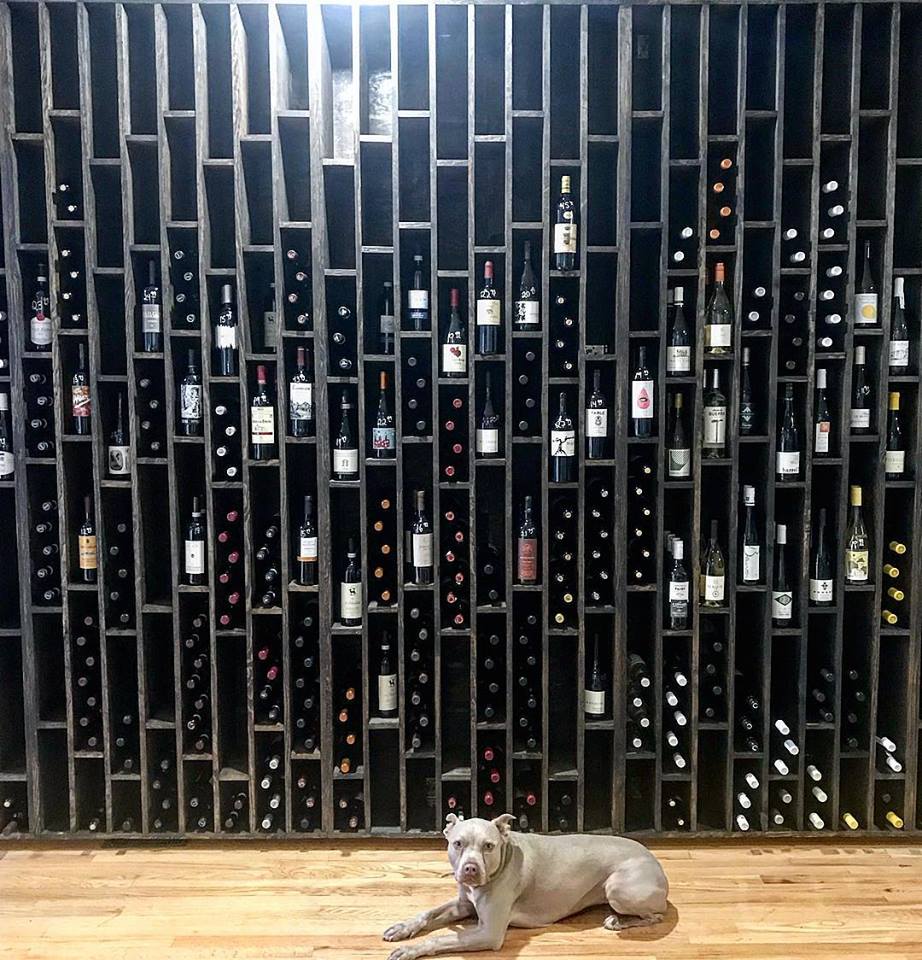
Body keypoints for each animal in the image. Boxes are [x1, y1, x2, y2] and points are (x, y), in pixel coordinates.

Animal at [382, 812, 668, 959]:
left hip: (617, 888)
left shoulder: (489, 932)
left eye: (489, 846)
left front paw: (410, 949)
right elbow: (428, 914)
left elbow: (442, 937)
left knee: (654, 916)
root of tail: (655, 862)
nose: (471, 869)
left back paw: (619, 922)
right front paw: (403, 928)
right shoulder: (463, 904)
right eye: (458, 844)